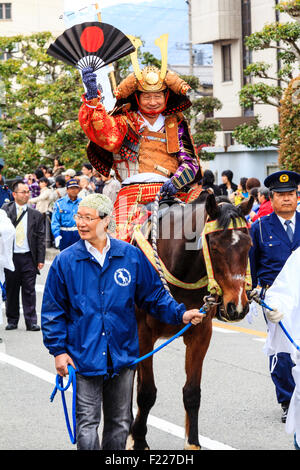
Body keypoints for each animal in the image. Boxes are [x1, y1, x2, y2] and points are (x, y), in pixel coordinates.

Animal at [126, 189, 253, 450]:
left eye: (249, 245)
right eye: (214, 246)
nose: (237, 307)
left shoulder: (200, 332)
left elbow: (192, 392)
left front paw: (192, 442)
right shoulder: (143, 333)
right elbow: (146, 392)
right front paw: (140, 439)